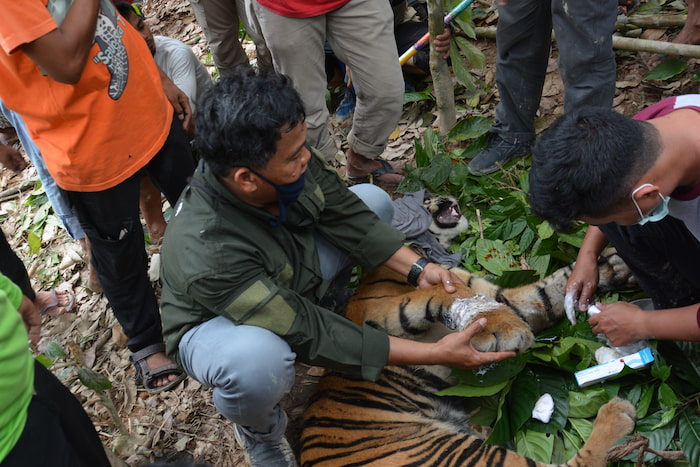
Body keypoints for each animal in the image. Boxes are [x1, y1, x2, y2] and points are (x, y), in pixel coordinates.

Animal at [300, 249, 638, 467]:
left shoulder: (507, 298)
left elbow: (547, 292)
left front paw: (612, 266)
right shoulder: (378, 315)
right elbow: (445, 292)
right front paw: (507, 329)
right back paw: (617, 415)